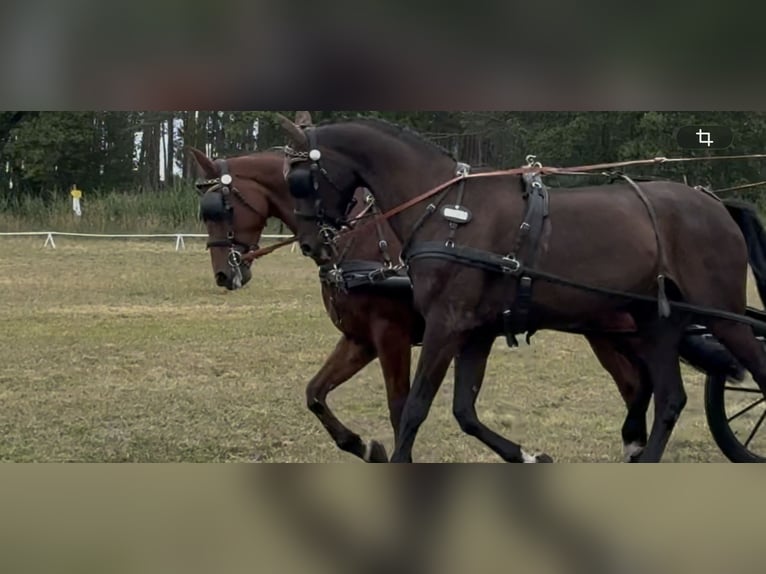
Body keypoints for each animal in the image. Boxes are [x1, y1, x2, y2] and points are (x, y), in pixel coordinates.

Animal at [278, 114, 766, 463]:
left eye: (300, 179)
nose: (311, 243)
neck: (451, 212)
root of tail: (715, 202)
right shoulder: (471, 332)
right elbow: (463, 411)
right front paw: (528, 455)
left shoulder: (444, 326)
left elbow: (415, 407)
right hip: (654, 324)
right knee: (667, 398)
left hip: (720, 315)